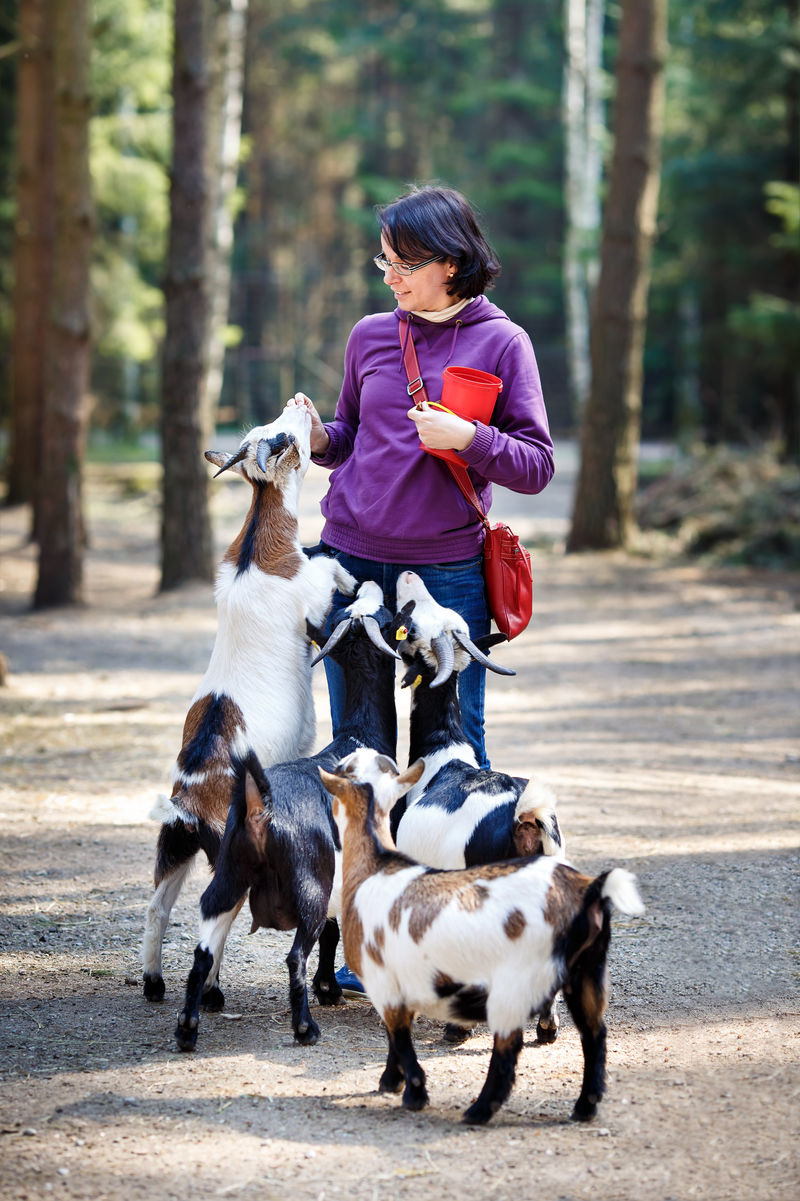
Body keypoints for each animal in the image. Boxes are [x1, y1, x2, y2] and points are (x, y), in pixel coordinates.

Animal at [142, 398, 355, 1008]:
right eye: (282, 438)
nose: (301, 402)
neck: (261, 547)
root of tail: (188, 803)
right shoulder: (311, 598)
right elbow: (329, 570)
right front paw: (349, 574)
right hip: (232, 857)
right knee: (215, 920)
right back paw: (211, 992)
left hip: (174, 848)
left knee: (158, 909)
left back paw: (153, 983)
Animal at [171, 576, 408, 1047]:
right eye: (387, 618)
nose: (370, 580)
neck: (358, 736)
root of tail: (260, 806)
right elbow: (335, 929)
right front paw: (328, 990)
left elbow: (335, 929)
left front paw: (329, 988)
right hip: (308, 884)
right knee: (295, 954)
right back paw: (304, 1028)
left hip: (228, 873)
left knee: (203, 950)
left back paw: (188, 1029)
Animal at [317, 749, 643, 1124]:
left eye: (346, 769)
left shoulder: (386, 980)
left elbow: (398, 1037)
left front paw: (408, 1089)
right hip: (583, 970)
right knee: (592, 1034)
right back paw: (577, 1093)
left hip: (510, 976)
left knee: (508, 1045)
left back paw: (477, 1101)